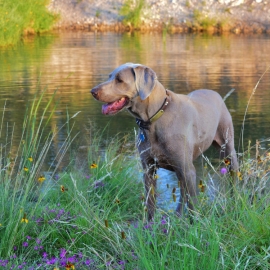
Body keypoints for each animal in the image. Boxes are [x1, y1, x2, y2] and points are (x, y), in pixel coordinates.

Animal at [90, 63, 238, 219]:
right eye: (109, 76)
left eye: (119, 80)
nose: (93, 91)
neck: (154, 118)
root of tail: (215, 93)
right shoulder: (149, 169)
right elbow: (150, 203)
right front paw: (149, 224)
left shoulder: (187, 169)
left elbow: (192, 204)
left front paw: (196, 223)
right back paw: (178, 215)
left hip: (227, 148)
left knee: (232, 178)